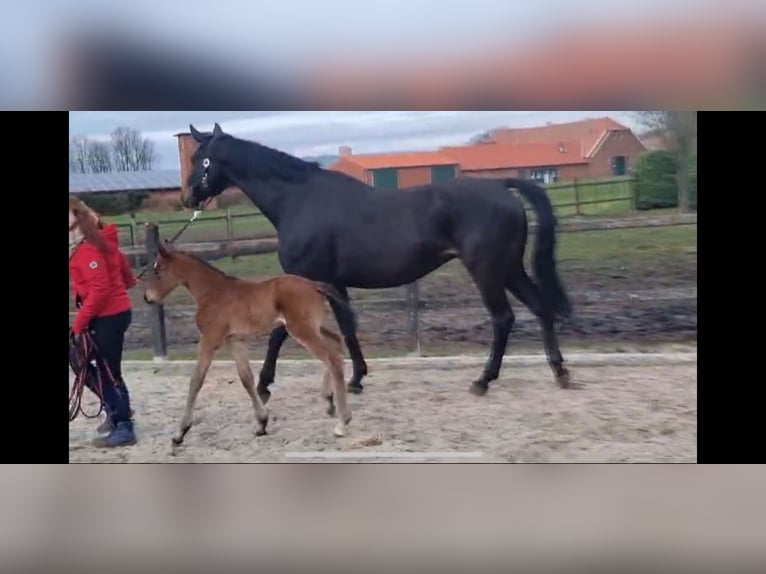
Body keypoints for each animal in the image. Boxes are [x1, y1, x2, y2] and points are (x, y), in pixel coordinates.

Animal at [143, 245, 354, 448]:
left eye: (157, 269)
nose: (147, 297)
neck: (212, 292)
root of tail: (314, 285)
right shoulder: (235, 341)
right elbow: (246, 378)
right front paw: (262, 423)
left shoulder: (209, 339)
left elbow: (196, 381)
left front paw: (180, 433)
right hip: (313, 327)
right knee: (337, 342)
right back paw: (329, 401)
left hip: (302, 329)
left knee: (332, 358)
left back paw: (342, 422)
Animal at [183, 125, 572, 404]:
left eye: (201, 158)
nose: (188, 196)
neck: (300, 200)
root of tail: (502, 187)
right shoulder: (333, 282)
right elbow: (348, 327)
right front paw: (357, 378)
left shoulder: (304, 278)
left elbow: (281, 331)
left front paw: (264, 385)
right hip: (509, 268)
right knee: (540, 308)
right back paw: (559, 372)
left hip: (487, 270)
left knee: (503, 318)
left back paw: (483, 380)